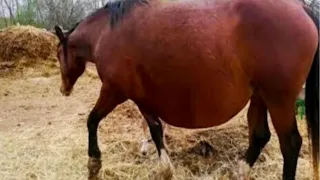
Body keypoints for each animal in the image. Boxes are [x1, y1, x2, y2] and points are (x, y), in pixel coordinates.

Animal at [53, 0, 318, 179]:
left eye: (57, 55)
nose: (63, 89)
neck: (106, 33)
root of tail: (301, 8)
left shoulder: (114, 91)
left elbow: (92, 120)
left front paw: (94, 163)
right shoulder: (142, 99)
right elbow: (155, 129)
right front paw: (164, 166)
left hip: (278, 99)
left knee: (290, 144)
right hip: (260, 96)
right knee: (260, 136)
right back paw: (240, 172)